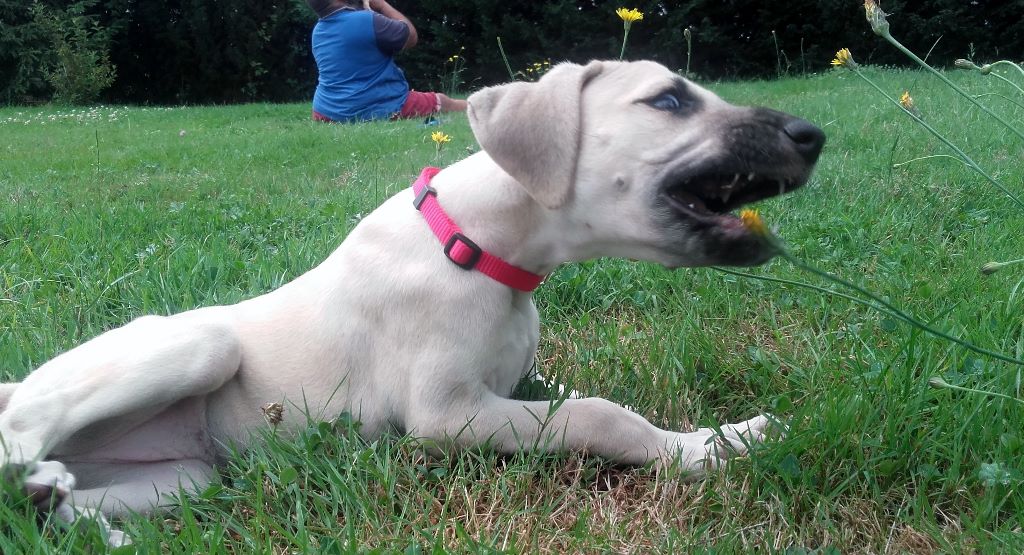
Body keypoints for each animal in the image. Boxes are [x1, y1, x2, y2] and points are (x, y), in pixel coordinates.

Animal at [0, 60, 824, 546]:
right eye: (669, 100)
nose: (811, 133)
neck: (476, 245)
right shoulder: (448, 412)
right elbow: (601, 414)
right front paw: (696, 453)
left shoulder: (522, 382)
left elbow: (598, 399)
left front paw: (728, 435)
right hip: (198, 346)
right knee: (19, 429)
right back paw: (41, 484)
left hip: (186, 472)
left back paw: (59, 506)